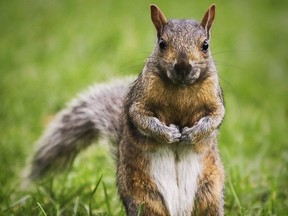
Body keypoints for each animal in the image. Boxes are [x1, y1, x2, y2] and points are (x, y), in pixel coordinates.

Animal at [24, 3, 225, 216]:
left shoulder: (215, 99)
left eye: (205, 45)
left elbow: (215, 117)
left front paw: (192, 134)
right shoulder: (139, 100)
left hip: (209, 194)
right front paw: (168, 134)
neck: (181, 87)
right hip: (144, 196)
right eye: (162, 43)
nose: (183, 66)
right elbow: (141, 118)